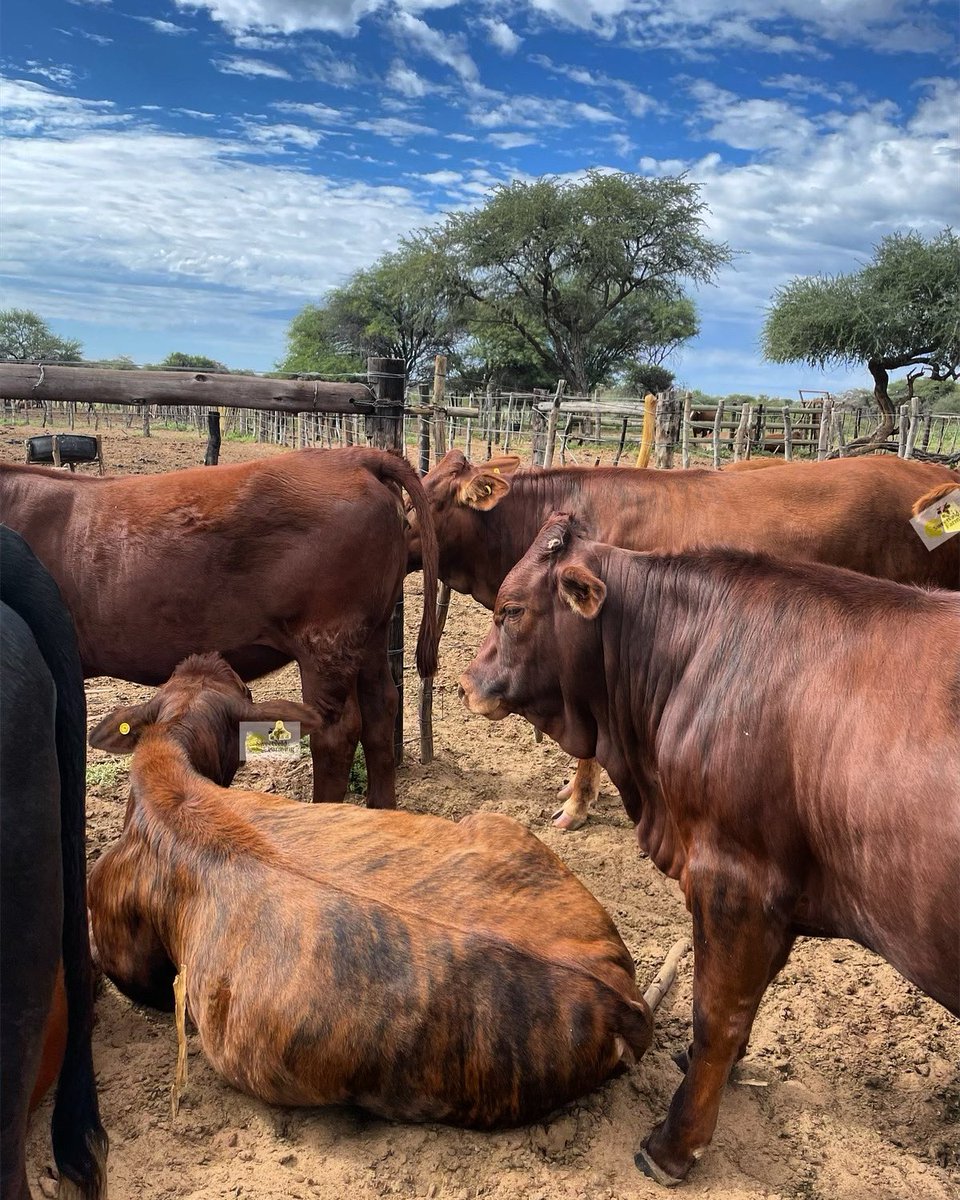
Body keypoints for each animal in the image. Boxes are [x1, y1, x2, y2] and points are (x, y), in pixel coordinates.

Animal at [458, 513, 960, 1180]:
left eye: (510, 610)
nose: (465, 684)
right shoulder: (774, 897)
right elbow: (745, 1000)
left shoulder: (734, 879)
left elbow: (716, 1014)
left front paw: (674, 1144)